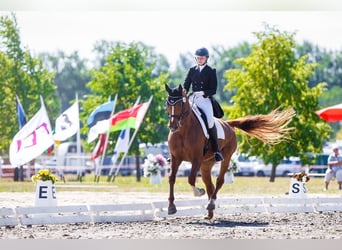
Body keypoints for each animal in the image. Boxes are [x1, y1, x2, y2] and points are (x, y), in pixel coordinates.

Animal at [164, 83, 296, 219]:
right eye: (167, 103)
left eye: (181, 104)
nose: (172, 126)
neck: (183, 131)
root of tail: (228, 124)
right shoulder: (175, 158)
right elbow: (171, 178)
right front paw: (171, 207)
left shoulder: (196, 159)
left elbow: (190, 179)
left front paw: (199, 192)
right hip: (206, 163)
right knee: (210, 184)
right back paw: (209, 213)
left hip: (225, 158)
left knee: (219, 181)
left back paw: (211, 204)